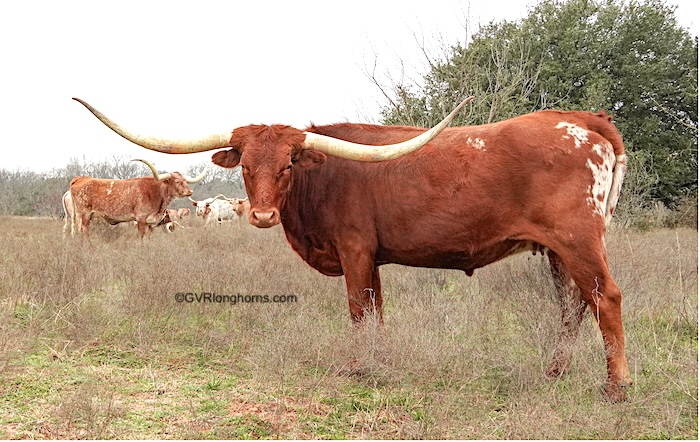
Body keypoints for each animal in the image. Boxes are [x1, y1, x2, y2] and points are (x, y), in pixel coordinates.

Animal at [68, 158, 205, 243]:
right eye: (177, 181)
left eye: (185, 181)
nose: (190, 192)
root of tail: (80, 178)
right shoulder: (140, 219)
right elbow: (141, 237)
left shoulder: (150, 223)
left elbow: (148, 238)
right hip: (84, 214)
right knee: (84, 231)